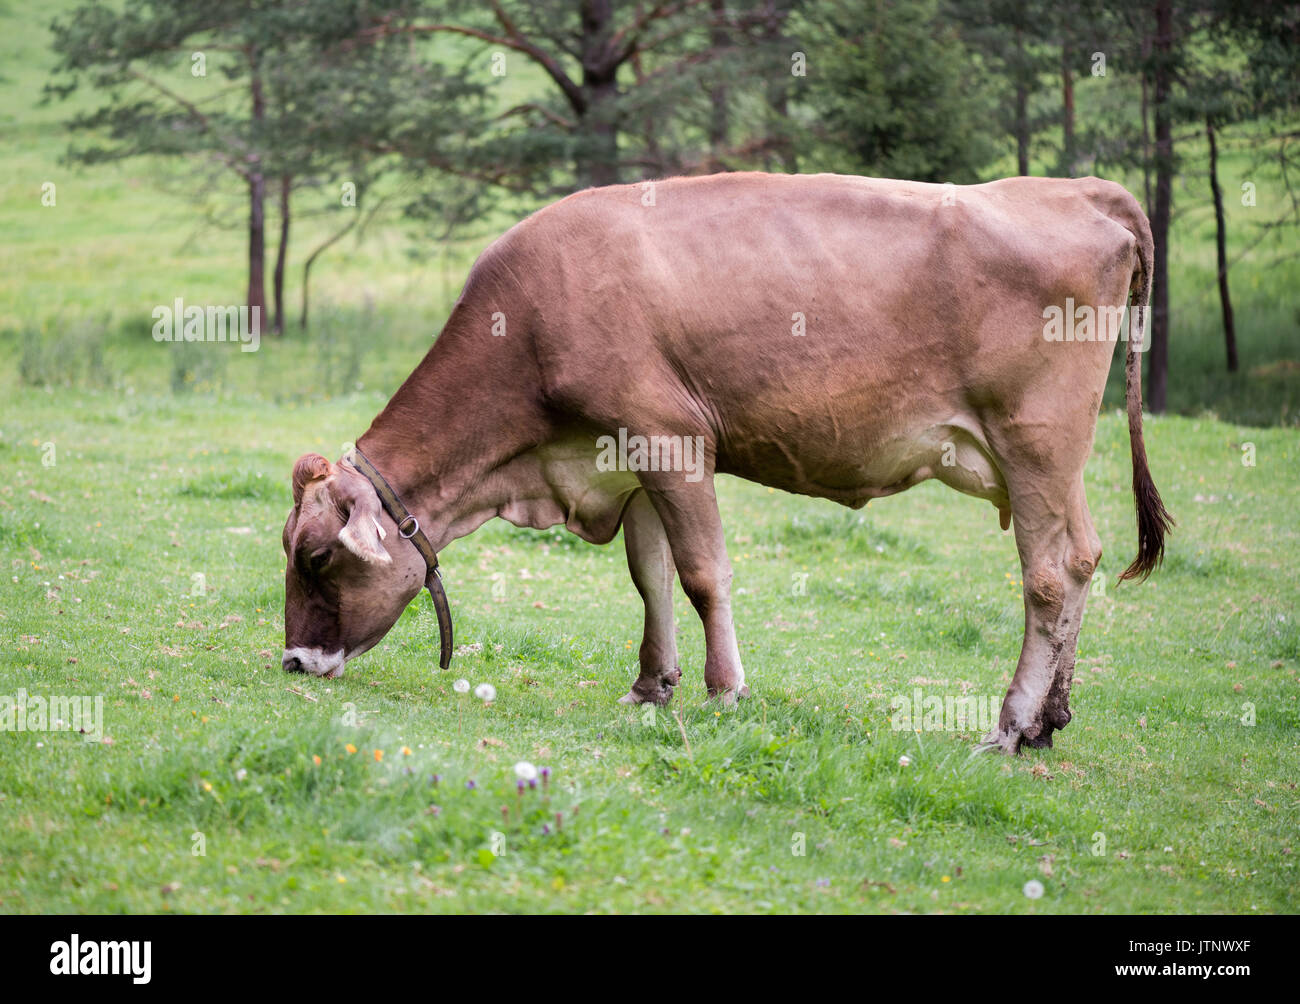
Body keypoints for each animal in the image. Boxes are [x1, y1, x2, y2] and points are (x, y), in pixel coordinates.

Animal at [279, 172, 1175, 754]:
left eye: (318, 557)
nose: (293, 660)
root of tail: (1081, 189)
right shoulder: (627, 456)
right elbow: (650, 576)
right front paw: (651, 685)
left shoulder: (672, 437)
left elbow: (704, 572)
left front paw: (724, 689)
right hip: (1053, 459)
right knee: (1083, 559)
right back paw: (1052, 717)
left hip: (1035, 443)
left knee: (1049, 574)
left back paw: (1009, 724)